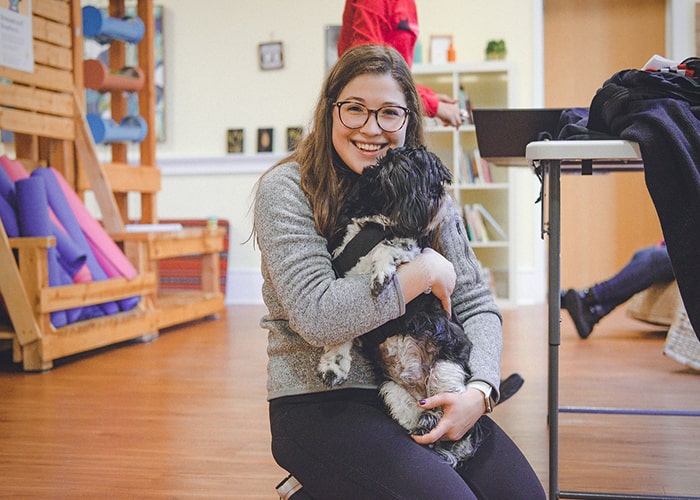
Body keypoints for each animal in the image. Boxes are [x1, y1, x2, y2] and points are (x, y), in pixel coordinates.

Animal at [320, 146, 484, 468]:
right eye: (433, 184)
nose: (444, 199)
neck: (377, 221)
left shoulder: (411, 249)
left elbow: (390, 247)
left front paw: (382, 270)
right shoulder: (341, 280)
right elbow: (340, 335)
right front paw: (334, 364)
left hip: (446, 367)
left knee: (445, 407)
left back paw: (434, 420)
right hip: (392, 394)